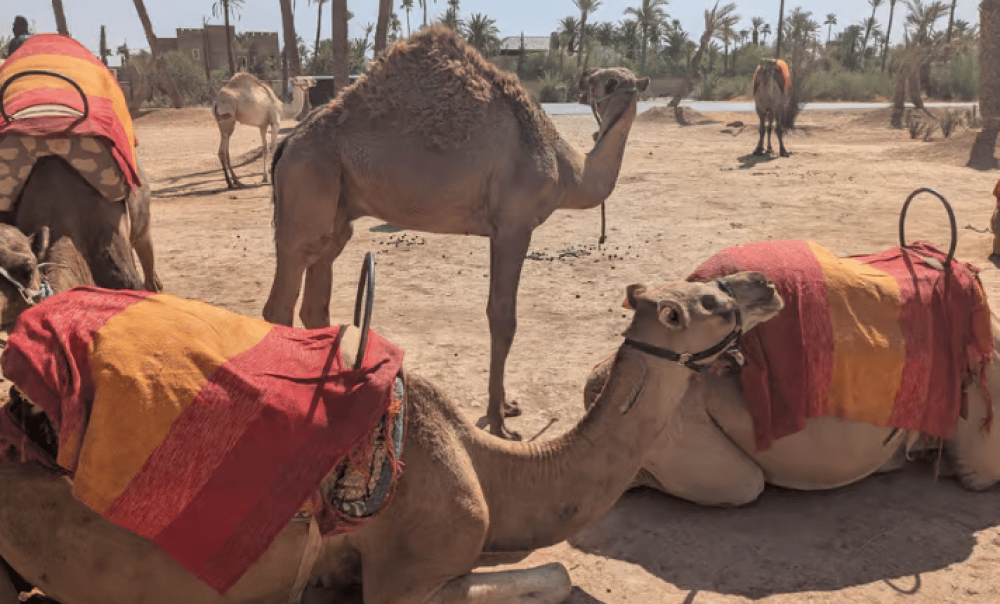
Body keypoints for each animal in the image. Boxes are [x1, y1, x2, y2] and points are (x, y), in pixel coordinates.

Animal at [263, 25, 649, 439]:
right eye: (606, 80)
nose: (584, 79)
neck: (566, 167)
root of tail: (289, 141)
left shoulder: (501, 229)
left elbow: (499, 313)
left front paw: (507, 406)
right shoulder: (514, 225)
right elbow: (503, 317)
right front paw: (498, 421)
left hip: (338, 207)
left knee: (316, 293)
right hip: (308, 185)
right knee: (282, 296)